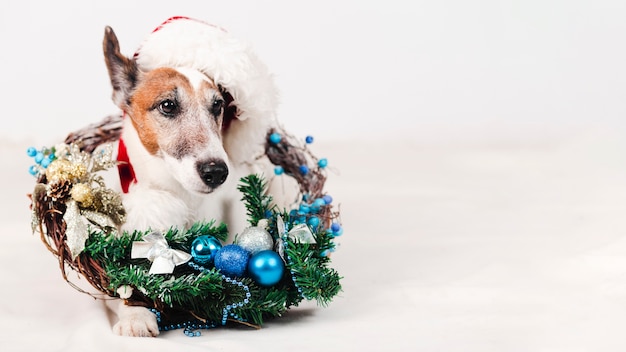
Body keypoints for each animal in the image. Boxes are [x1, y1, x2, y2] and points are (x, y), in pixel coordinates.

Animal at [101, 17, 296, 336]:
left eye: (218, 105)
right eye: (168, 105)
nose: (217, 172)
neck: (183, 193)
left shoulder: (235, 193)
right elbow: (119, 283)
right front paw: (135, 314)